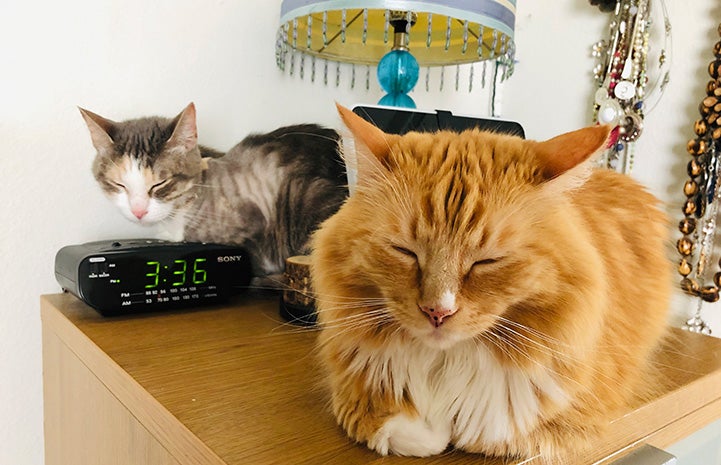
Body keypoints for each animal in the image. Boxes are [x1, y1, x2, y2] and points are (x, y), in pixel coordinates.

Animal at [312, 104, 672, 460]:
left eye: (486, 261)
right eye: (405, 251)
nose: (437, 312)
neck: (446, 361)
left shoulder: (570, 407)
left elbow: (483, 429)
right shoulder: (348, 382)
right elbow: (400, 430)